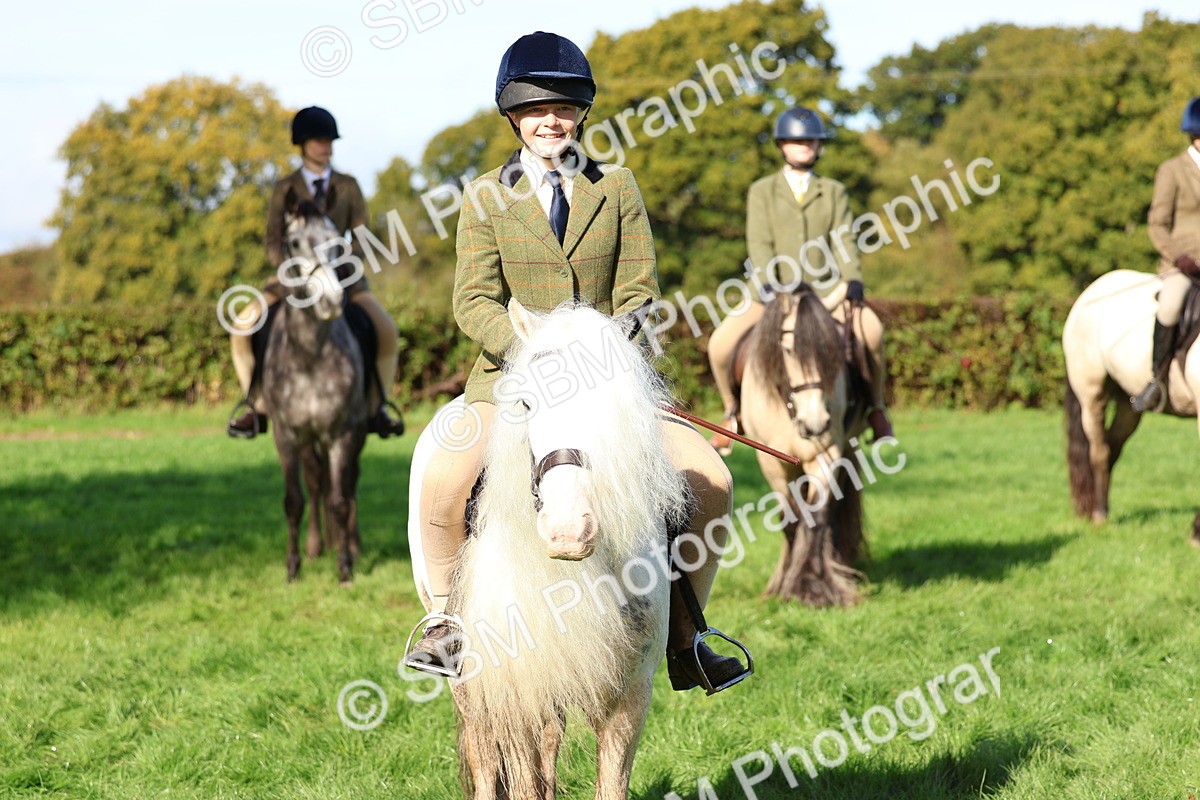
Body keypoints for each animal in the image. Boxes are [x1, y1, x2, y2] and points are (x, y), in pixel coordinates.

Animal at [261, 195, 368, 584]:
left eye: (337, 240)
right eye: (294, 243)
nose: (331, 302)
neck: (309, 357)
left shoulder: (341, 434)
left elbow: (339, 499)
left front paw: (345, 567)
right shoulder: (287, 436)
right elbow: (294, 500)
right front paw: (293, 566)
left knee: (347, 485)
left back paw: (350, 545)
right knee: (316, 482)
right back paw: (315, 546)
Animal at [406, 300, 688, 799]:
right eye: (527, 403)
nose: (567, 530)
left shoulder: (633, 690)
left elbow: (609, 781)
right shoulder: (511, 681)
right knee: (485, 755)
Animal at [738, 284, 869, 606]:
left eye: (832, 352)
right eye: (787, 349)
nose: (816, 423)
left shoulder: (826, 454)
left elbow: (817, 516)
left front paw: (814, 585)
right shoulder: (772, 463)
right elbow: (790, 520)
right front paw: (785, 584)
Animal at [1064, 268, 1200, 545]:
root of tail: (1091, 290)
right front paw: (1196, 533)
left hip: (1128, 404)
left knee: (1111, 447)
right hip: (1091, 397)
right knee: (1099, 452)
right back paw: (1100, 515)